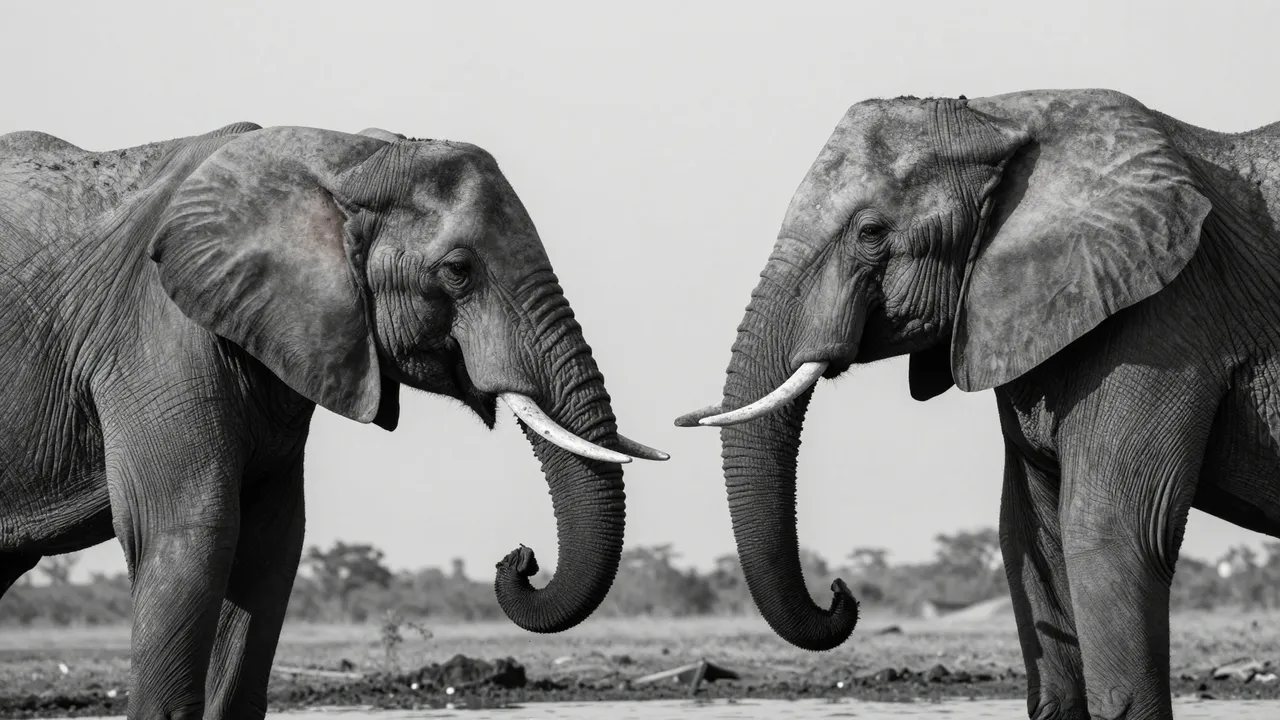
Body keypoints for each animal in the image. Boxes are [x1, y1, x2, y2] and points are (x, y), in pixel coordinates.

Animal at [0, 121, 666, 719]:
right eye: (458, 270)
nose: (520, 558)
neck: (341, 161)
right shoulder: (157, 340)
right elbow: (191, 530)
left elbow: (271, 541)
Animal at [677, 88, 1280, 719]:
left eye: (870, 232)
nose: (841, 589)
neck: (1004, 116)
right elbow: (1029, 534)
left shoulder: (1164, 321)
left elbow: (1113, 533)